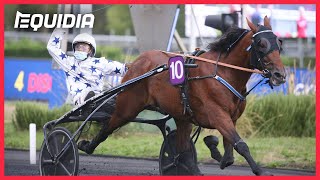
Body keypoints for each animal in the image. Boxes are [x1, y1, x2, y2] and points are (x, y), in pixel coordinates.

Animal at [77, 16, 284, 175]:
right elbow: (240, 145)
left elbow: (229, 152)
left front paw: (216, 150)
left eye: (279, 44)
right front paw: (261, 170)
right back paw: (85, 146)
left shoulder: (231, 117)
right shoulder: (218, 114)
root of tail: (137, 62)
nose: (280, 74)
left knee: (182, 149)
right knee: (108, 126)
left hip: (181, 115)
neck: (224, 73)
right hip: (128, 106)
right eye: (261, 44)